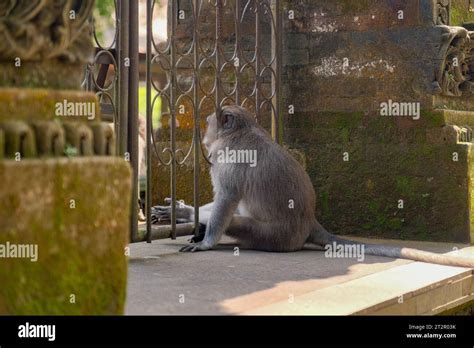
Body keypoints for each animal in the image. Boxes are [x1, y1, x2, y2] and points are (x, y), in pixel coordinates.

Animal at [151, 104, 474, 268]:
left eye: (208, 124)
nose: (205, 135)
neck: (239, 133)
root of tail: (309, 221)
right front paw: (183, 213)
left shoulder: (228, 162)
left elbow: (227, 200)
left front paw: (206, 242)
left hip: (276, 237)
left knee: (238, 221)